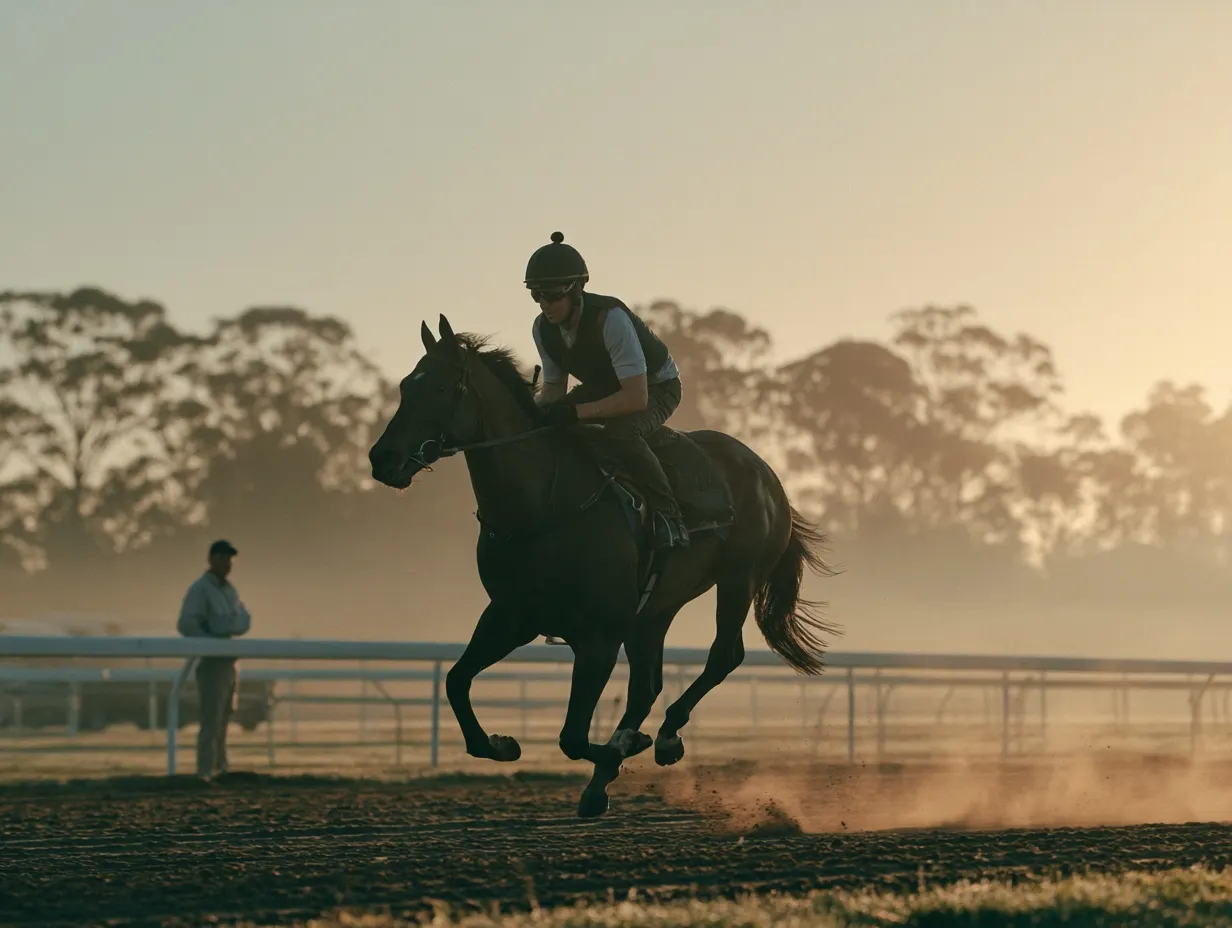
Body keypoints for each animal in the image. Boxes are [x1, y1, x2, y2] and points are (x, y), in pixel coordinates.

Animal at [368, 314, 840, 817]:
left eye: (441, 387)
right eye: (405, 385)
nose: (383, 458)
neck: (542, 506)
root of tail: (767, 474)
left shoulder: (599, 636)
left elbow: (573, 737)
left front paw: (625, 746)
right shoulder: (511, 616)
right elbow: (457, 683)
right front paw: (503, 744)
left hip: (738, 580)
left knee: (721, 657)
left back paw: (664, 737)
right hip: (656, 607)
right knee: (647, 685)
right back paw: (609, 776)